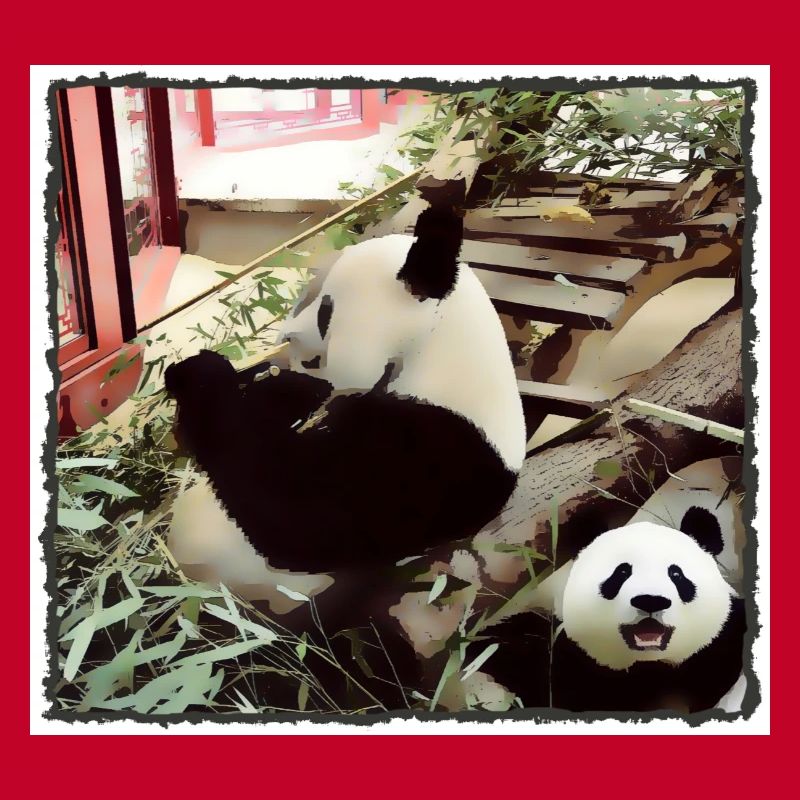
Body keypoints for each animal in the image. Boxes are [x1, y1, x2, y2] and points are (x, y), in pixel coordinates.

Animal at [164, 203, 526, 670]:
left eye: (325, 312)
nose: (284, 337)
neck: (438, 349)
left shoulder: (433, 453)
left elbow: (294, 517)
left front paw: (200, 375)